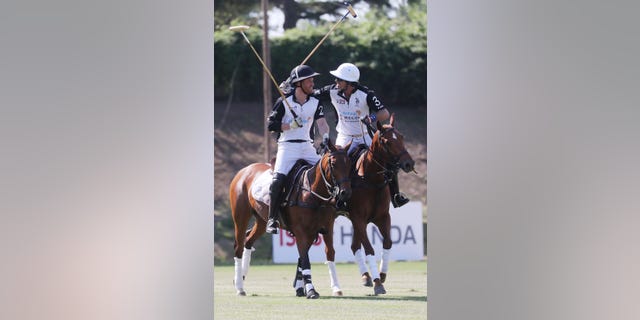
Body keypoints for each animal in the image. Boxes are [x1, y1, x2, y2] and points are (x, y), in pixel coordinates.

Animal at [229, 139, 352, 298]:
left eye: (349, 163)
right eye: (334, 164)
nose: (345, 193)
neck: (313, 193)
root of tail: (242, 171)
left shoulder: (324, 228)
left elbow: (327, 253)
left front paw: (333, 288)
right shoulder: (301, 231)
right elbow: (305, 259)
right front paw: (310, 290)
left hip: (262, 220)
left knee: (248, 240)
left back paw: (241, 276)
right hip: (241, 216)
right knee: (239, 245)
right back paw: (239, 286)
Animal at [344, 114, 416, 296]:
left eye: (402, 137)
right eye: (386, 142)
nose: (409, 164)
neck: (371, 179)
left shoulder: (382, 217)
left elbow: (388, 242)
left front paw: (382, 276)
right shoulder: (359, 218)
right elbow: (369, 249)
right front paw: (378, 283)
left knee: (354, 245)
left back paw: (365, 276)